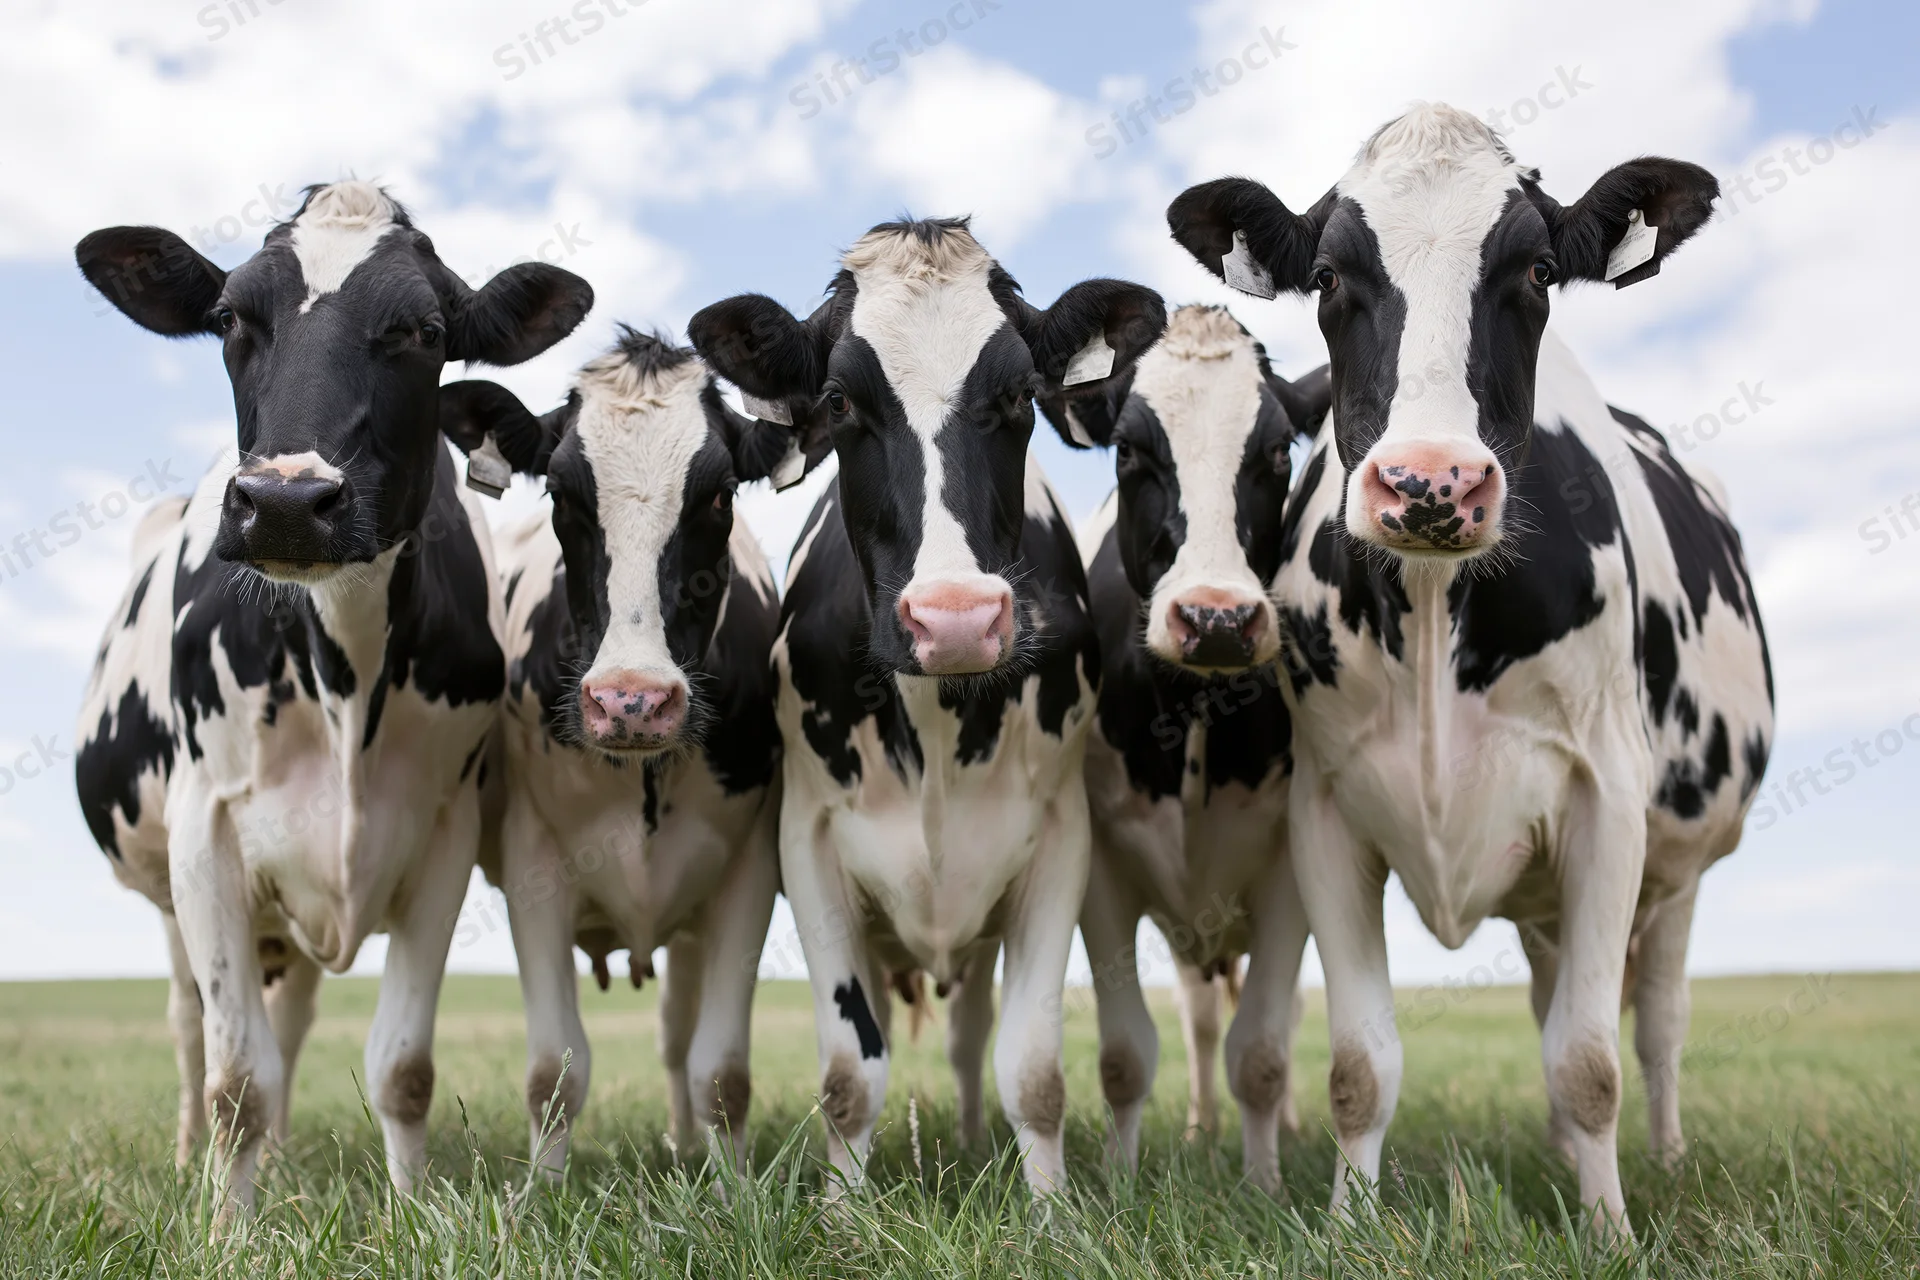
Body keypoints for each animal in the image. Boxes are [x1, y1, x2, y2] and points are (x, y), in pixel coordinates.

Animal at [72, 181, 593, 1212]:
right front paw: (227, 1230)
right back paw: (194, 1162)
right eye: (231, 318)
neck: (345, 670)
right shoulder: (205, 831)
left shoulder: (441, 833)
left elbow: (401, 1068)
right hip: (172, 890)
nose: (283, 502)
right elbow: (234, 1075)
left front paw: (411, 1211)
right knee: (192, 1027)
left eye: (424, 330)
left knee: (292, 1018)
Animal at [435, 327, 792, 1176]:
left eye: (719, 495)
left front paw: (734, 1191)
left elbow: (720, 1071)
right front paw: (541, 1192)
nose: (632, 700)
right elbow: (553, 1070)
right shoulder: (531, 864)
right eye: (562, 495)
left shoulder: (749, 870)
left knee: (678, 1043)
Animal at [687, 217, 1166, 1194]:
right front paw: (843, 1210)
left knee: (971, 1039)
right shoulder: (809, 839)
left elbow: (1032, 1069)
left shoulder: (1060, 838)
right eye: (838, 402)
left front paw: (1053, 1211)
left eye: (1020, 395)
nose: (955, 619)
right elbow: (849, 1074)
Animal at [1057, 304, 1327, 1191]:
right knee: (1201, 1018)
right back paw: (1201, 1128)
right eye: (1130, 452)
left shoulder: (1287, 870)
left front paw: (1265, 1184)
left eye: (1277, 453)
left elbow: (1265, 1053)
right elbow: (1125, 1056)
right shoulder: (1104, 868)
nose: (1214, 618)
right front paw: (1118, 1180)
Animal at [1168, 103, 1774, 1231]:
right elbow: (1360, 1066)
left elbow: (1592, 1062)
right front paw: (1350, 1228)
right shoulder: (1324, 810)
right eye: (1328, 276)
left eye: (1535, 269)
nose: (1430, 482)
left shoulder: (1608, 798)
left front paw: (1610, 1231)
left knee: (1657, 1022)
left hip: (1677, 865)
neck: (1435, 604)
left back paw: (1664, 1161)